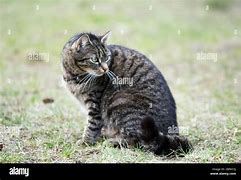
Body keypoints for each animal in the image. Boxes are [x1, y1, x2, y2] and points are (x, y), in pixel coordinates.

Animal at [61, 31, 192, 155]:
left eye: (107, 58)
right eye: (94, 59)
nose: (106, 69)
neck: (74, 76)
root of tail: (171, 132)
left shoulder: (95, 104)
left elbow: (92, 125)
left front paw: (86, 142)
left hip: (119, 100)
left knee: (136, 141)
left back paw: (113, 142)